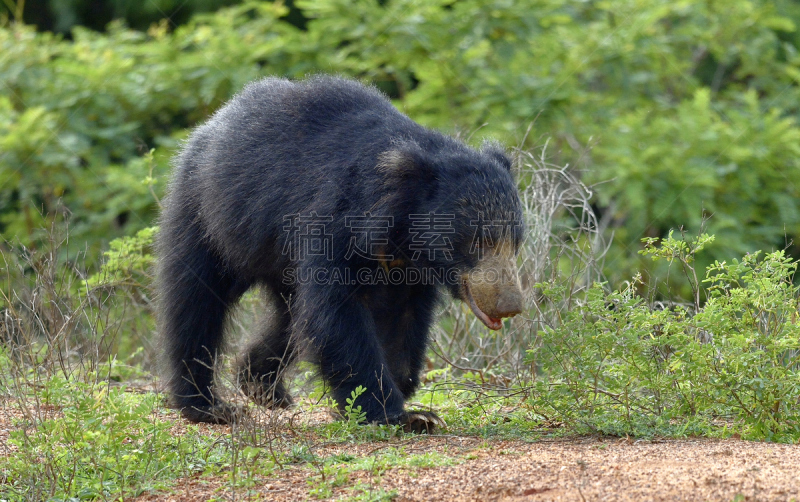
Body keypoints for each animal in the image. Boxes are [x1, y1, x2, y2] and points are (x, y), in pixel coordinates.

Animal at [159, 75, 528, 432]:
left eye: (515, 242)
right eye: (477, 242)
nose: (510, 305)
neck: (398, 232)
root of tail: (210, 125)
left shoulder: (410, 269)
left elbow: (402, 320)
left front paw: (397, 396)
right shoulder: (332, 222)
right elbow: (336, 315)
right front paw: (400, 414)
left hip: (275, 258)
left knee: (290, 317)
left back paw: (263, 386)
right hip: (209, 216)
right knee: (195, 303)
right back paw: (208, 406)